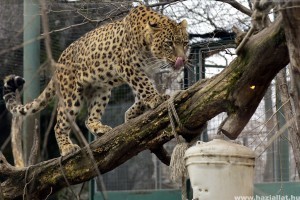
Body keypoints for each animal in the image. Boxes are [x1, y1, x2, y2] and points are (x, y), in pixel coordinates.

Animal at [3, 4, 189, 155]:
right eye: (169, 43)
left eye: (185, 43)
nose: (182, 60)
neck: (150, 50)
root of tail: (59, 61)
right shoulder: (128, 67)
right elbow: (144, 86)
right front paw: (156, 98)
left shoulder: (147, 72)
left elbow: (141, 92)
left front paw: (132, 113)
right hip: (71, 96)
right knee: (60, 124)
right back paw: (67, 148)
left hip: (101, 91)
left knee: (89, 118)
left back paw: (99, 128)